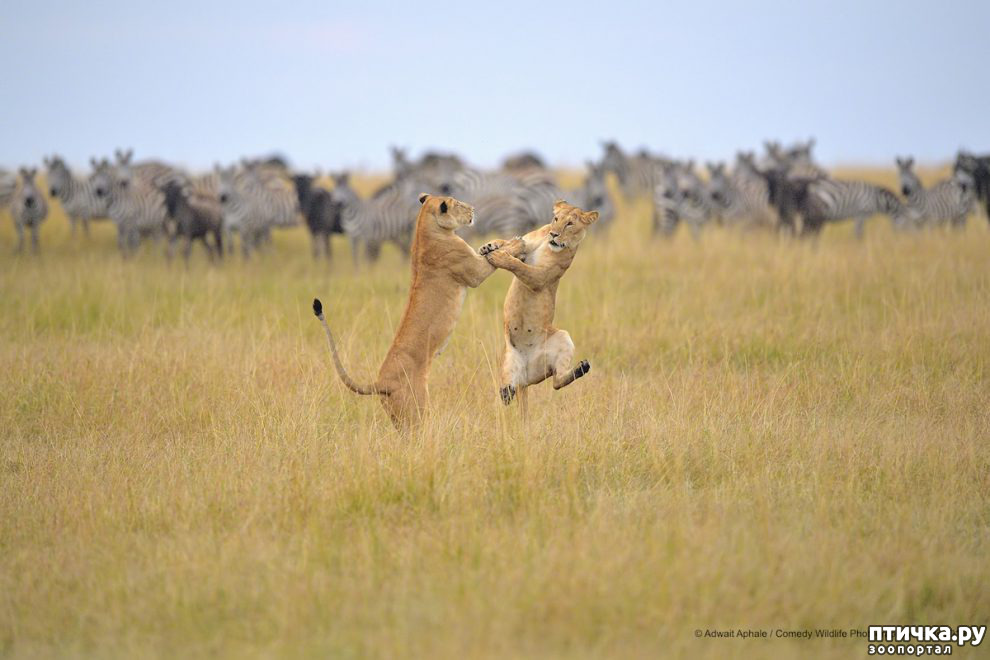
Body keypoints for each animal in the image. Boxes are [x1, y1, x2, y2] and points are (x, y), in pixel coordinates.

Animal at [313, 193, 496, 427]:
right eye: (457, 204)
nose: (473, 209)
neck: (424, 228)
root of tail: (380, 382)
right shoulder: (475, 272)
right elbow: (504, 250)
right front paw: (514, 243)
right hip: (417, 408)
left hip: (398, 417)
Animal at [480, 200, 598, 412]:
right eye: (556, 219)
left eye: (570, 224)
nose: (554, 234)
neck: (547, 244)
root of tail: (525, 379)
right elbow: (509, 243)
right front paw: (489, 246)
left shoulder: (540, 277)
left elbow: (520, 266)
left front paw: (499, 257)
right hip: (509, 363)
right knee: (511, 393)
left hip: (562, 338)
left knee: (556, 382)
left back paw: (582, 368)